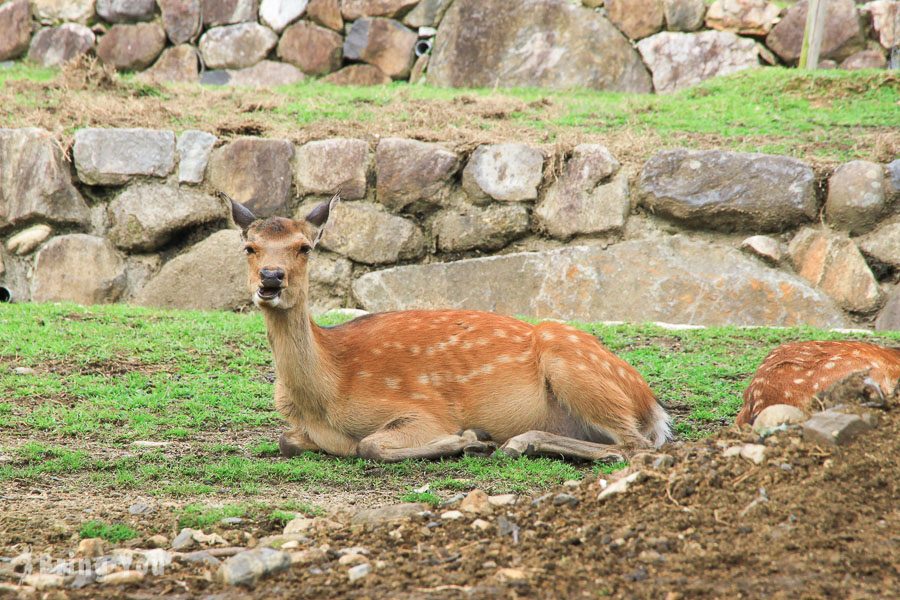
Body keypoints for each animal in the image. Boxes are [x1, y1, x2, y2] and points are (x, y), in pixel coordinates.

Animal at [229, 195, 672, 462]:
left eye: (305, 247)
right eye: (249, 247)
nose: (271, 278)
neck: (327, 391)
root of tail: (651, 405)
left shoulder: (423, 409)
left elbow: (370, 444)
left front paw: (468, 438)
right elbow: (285, 440)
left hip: (573, 365)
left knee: (638, 446)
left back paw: (506, 441)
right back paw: (518, 442)